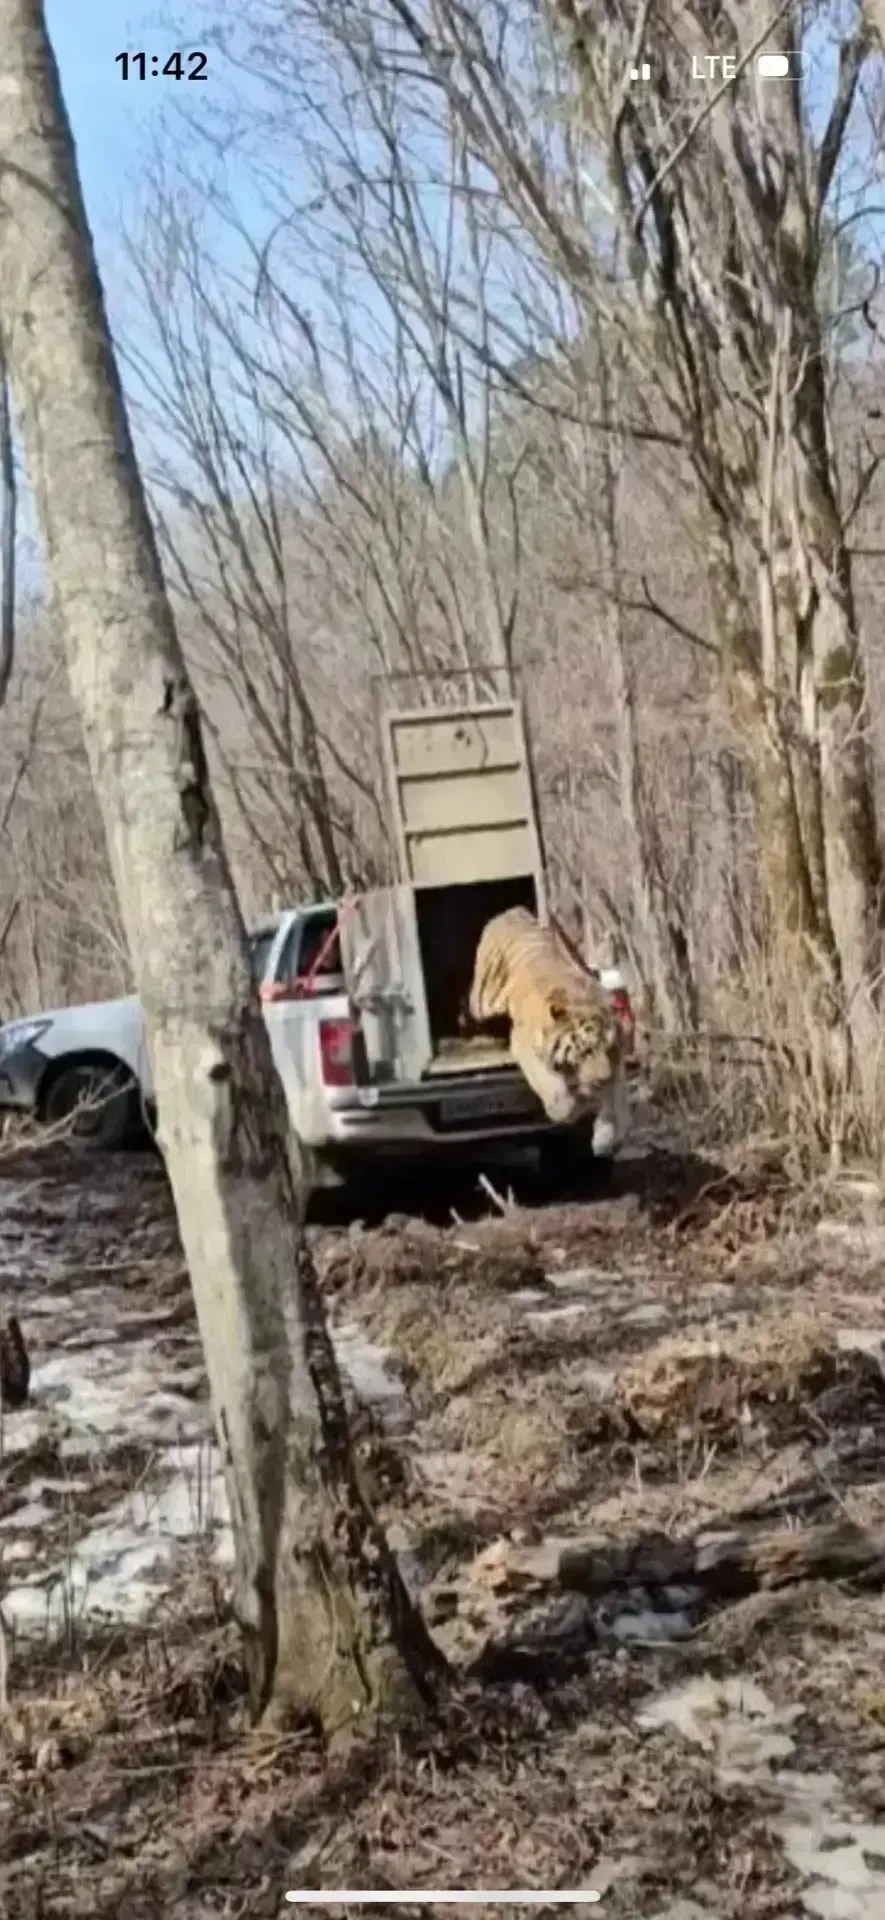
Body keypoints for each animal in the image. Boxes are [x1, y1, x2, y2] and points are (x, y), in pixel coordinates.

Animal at [468, 905, 628, 1154]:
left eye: (610, 1048)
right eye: (587, 1050)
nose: (602, 1081)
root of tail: (511, 912)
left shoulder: (617, 1063)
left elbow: (615, 1097)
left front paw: (606, 1139)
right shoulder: (524, 1043)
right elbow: (550, 1084)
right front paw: (567, 1110)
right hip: (481, 1001)